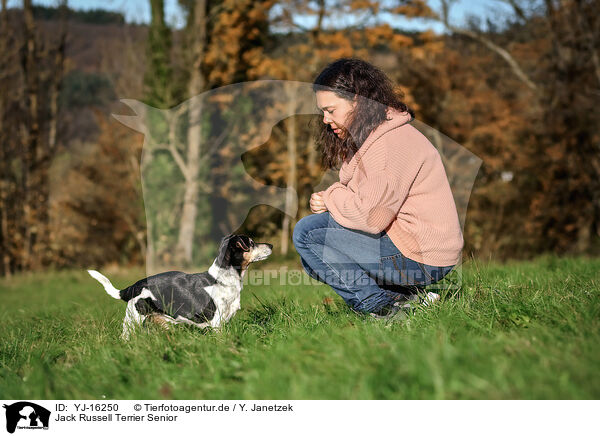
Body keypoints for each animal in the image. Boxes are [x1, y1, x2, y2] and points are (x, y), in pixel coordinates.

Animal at [87, 235, 274, 340]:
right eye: (251, 243)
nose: (271, 245)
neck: (222, 279)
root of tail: (135, 286)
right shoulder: (216, 323)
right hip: (133, 319)